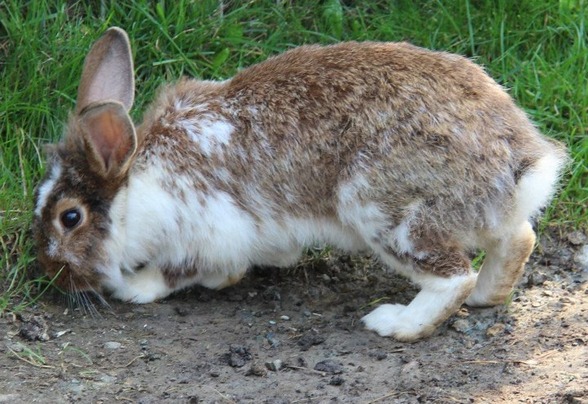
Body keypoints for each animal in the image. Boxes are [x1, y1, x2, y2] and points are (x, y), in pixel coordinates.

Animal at [32, 26, 564, 340]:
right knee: (518, 238)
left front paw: (134, 288)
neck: (134, 190)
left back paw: (396, 323)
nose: (51, 273)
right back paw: (487, 296)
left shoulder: (209, 228)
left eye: (69, 218)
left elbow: (183, 271)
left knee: (454, 275)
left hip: (384, 210)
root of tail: (518, 162)